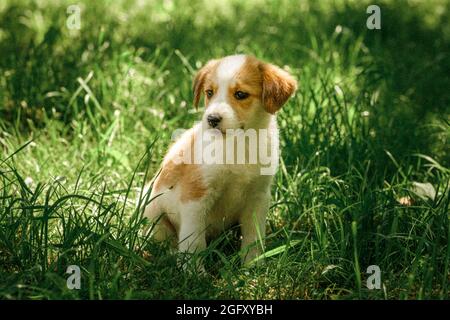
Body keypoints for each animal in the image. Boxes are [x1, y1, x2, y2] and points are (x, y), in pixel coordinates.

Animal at [144, 54, 298, 264]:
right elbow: (194, 242)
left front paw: (253, 265)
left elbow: (253, 237)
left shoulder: (258, 196)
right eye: (209, 92)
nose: (212, 119)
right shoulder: (196, 197)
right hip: (153, 210)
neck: (238, 143)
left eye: (240, 94)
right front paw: (193, 270)